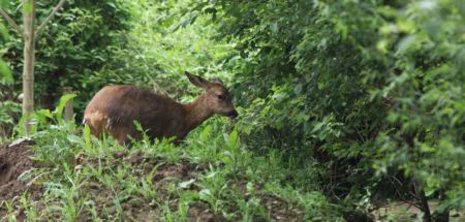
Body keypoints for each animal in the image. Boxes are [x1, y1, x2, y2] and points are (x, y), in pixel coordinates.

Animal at [82, 71, 239, 144]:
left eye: (231, 94)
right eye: (220, 96)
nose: (234, 112)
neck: (186, 117)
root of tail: (91, 113)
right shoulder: (173, 137)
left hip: (94, 133)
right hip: (124, 130)